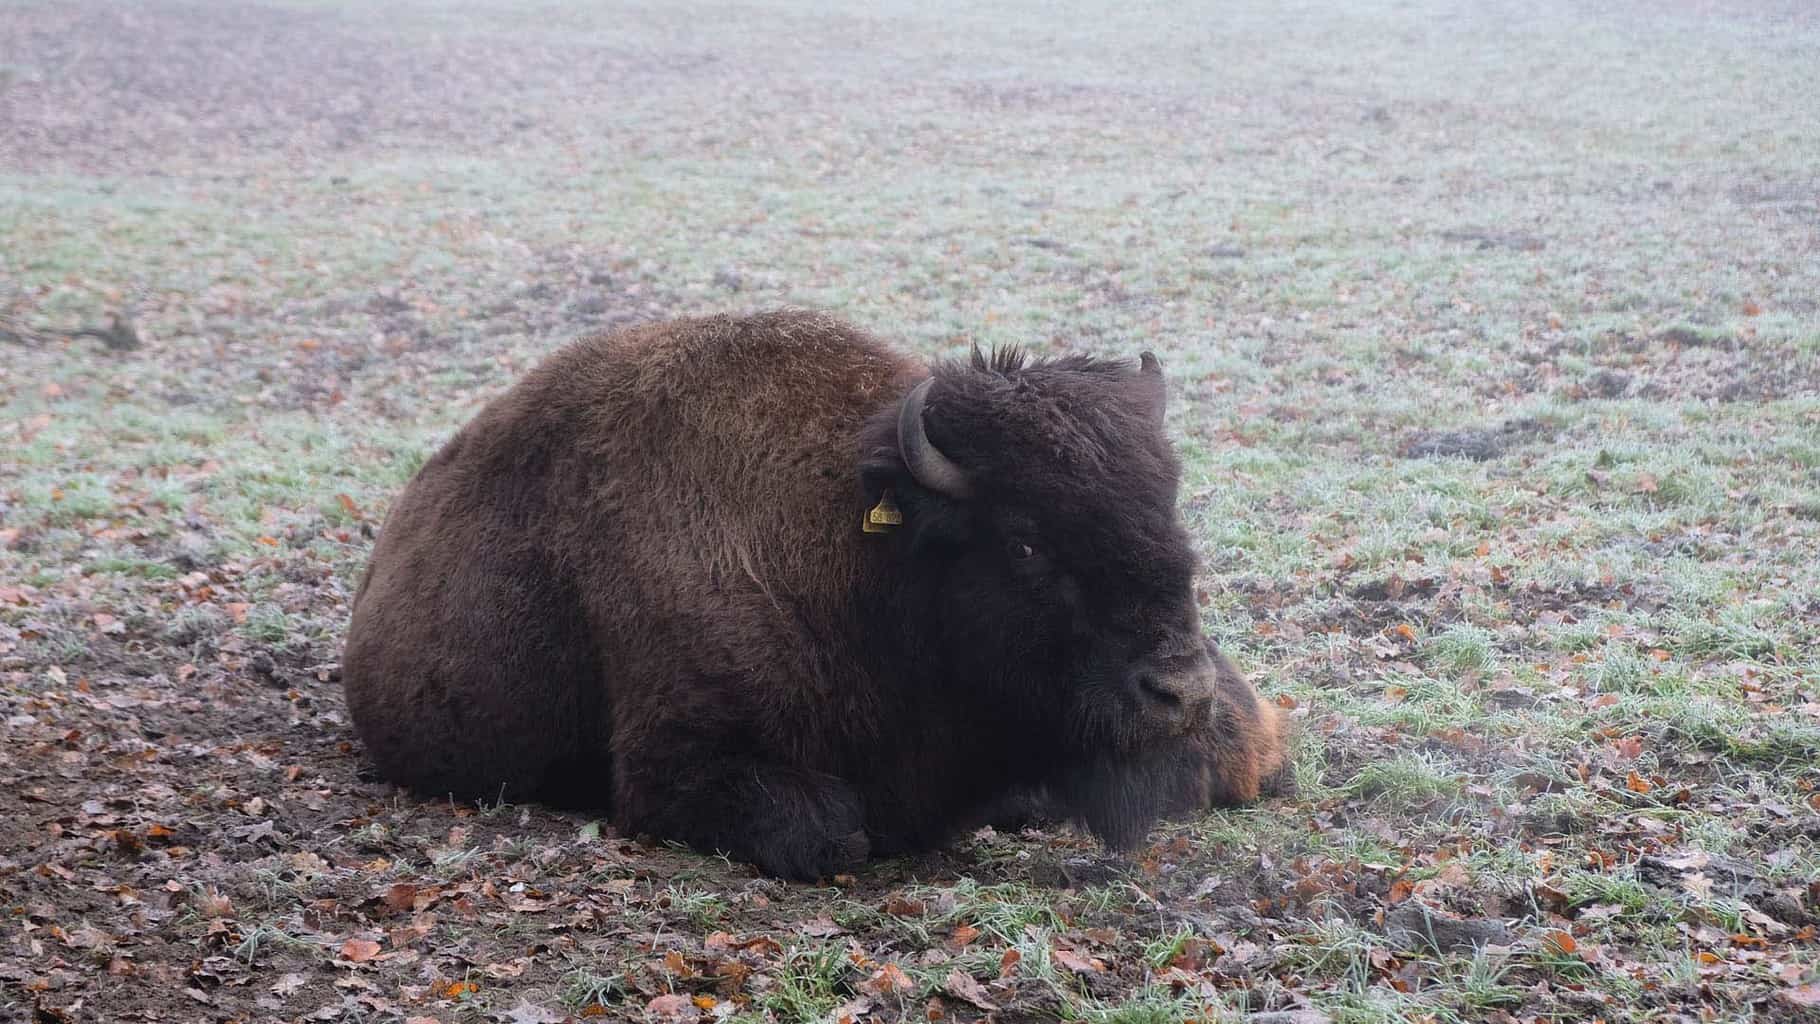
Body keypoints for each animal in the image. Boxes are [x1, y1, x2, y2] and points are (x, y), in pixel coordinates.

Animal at [338, 311, 1281, 880]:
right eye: (1025, 540)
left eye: (1169, 509)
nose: (1178, 692)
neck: (867, 564)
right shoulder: (675, 765)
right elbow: (834, 830)